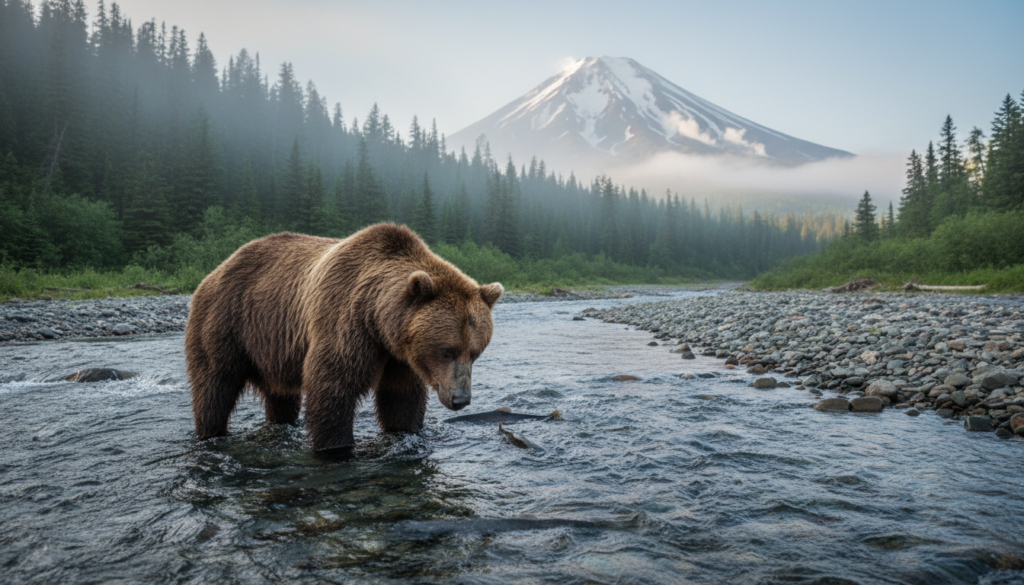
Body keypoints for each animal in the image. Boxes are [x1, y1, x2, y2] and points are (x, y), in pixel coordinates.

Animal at [184, 223, 503, 453]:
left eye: (475, 352)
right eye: (447, 350)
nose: (461, 399)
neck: (380, 324)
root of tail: (217, 268)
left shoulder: (400, 358)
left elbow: (401, 400)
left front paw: (404, 428)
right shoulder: (345, 323)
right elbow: (332, 388)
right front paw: (335, 447)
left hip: (273, 348)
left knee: (280, 396)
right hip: (226, 322)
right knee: (214, 386)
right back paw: (210, 432)